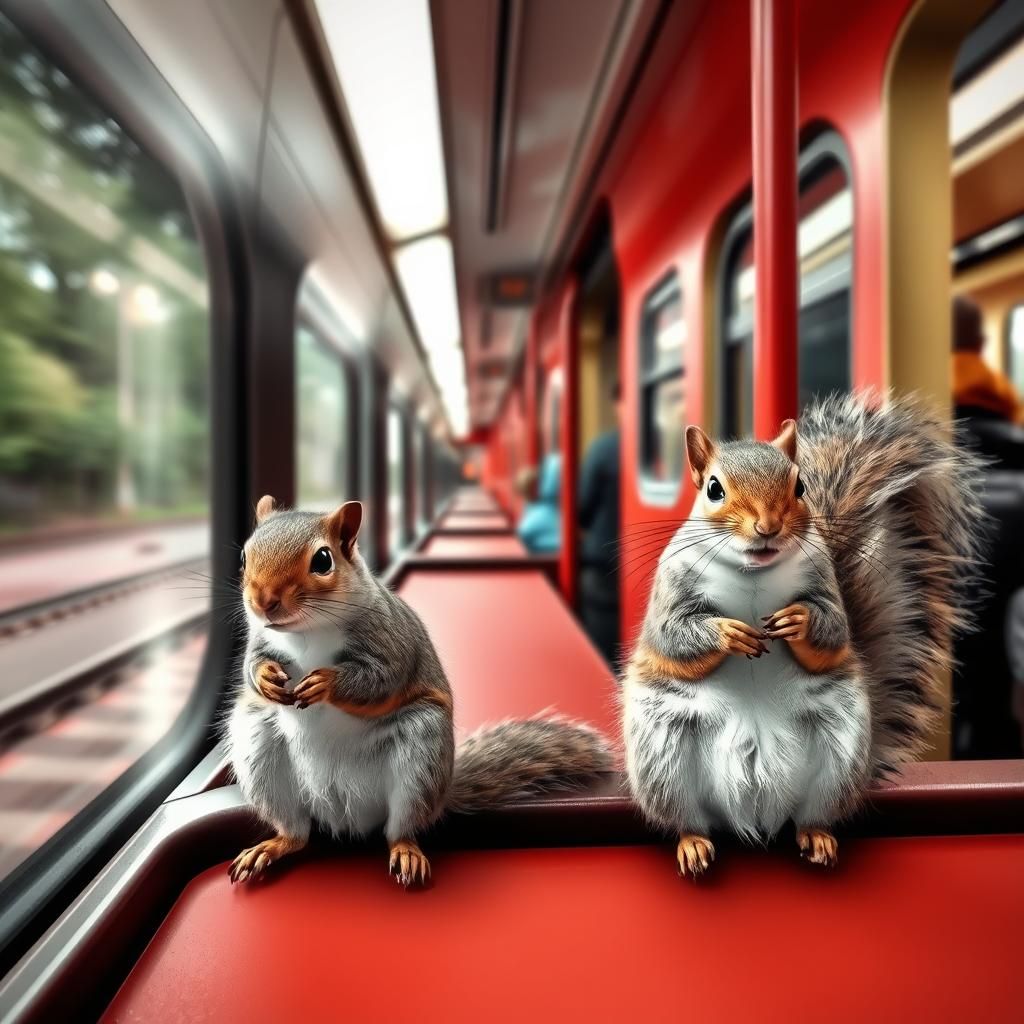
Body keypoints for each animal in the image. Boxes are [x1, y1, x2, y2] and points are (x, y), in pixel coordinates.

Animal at [226, 495, 611, 886]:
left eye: (322, 560)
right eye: (243, 556)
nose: (263, 601)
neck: (305, 632)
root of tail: (346, 816)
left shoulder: (391, 639)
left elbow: (381, 680)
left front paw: (327, 682)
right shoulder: (261, 639)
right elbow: (250, 665)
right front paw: (263, 677)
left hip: (422, 751)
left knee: (400, 828)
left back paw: (406, 851)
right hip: (258, 746)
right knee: (297, 833)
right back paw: (271, 846)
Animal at [622, 394, 985, 877]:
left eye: (799, 487)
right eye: (714, 489)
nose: (768, 526)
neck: (754, 574)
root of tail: (754, 812)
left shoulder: (824, 583)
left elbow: (832, 633)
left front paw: (799, 622)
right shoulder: (671, 587)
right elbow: (672, 636)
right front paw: (728, 633)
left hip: (839, 754)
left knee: (812, 813)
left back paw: (817, 836)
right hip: (662, 757)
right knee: (687, 816)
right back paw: (694, 842)